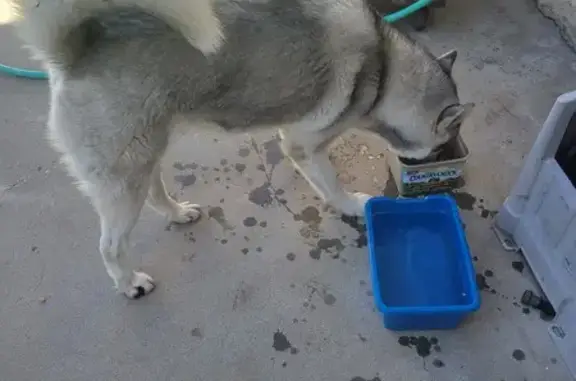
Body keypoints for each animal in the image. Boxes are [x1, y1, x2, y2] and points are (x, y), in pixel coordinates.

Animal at [9, 0, 472, 296]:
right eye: (443, 145)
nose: (445, 164)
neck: (386, 68)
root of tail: (75, 50)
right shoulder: (306, 144)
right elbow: (332, 183)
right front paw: (351, 204)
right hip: (124, 181)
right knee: (111, 245)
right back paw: (128, 283)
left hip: (147, 152)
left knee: (156, 193)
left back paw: (177, 212)